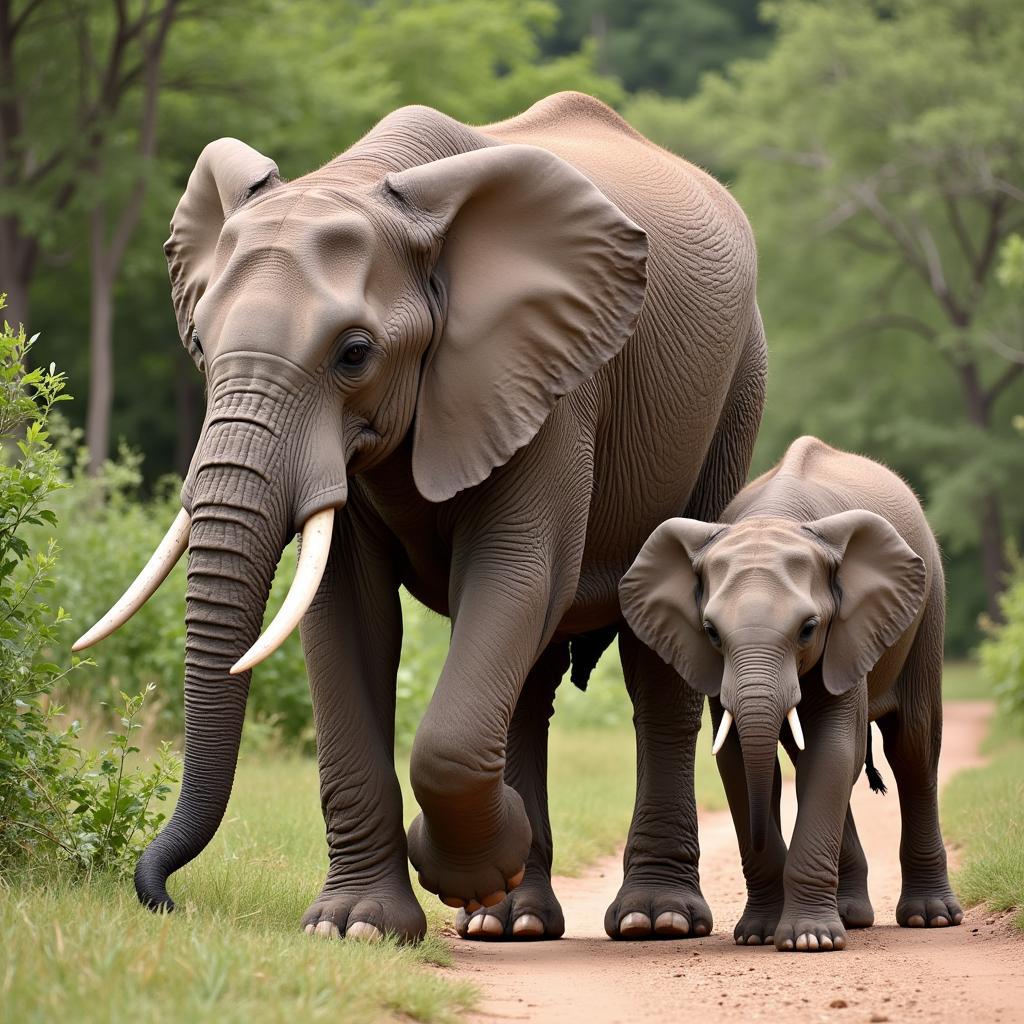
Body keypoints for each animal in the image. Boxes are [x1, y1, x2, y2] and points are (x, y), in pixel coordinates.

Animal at [77, 94, 770, 942]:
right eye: (202, 346)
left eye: (354, 354)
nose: (164, 898)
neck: (372, 182)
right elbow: (345, 612)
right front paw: (355, 927)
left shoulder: (551, 381)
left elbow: (515, 571)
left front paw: (460, 872)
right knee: (531, 680)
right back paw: (510, 920)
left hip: (735, 393)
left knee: (652, 663)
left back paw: (653, 919)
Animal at [618, 436, 962, 954]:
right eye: (710, 631)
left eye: (808, 629)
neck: (774, 519)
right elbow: (742, 760)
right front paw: (758, 934)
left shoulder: (846, 631)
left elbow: (834, 749)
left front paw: (810, 940)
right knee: (813, 757)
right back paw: (852, 915)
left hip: (929, 604)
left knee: (913, 748)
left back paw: (932, 917)